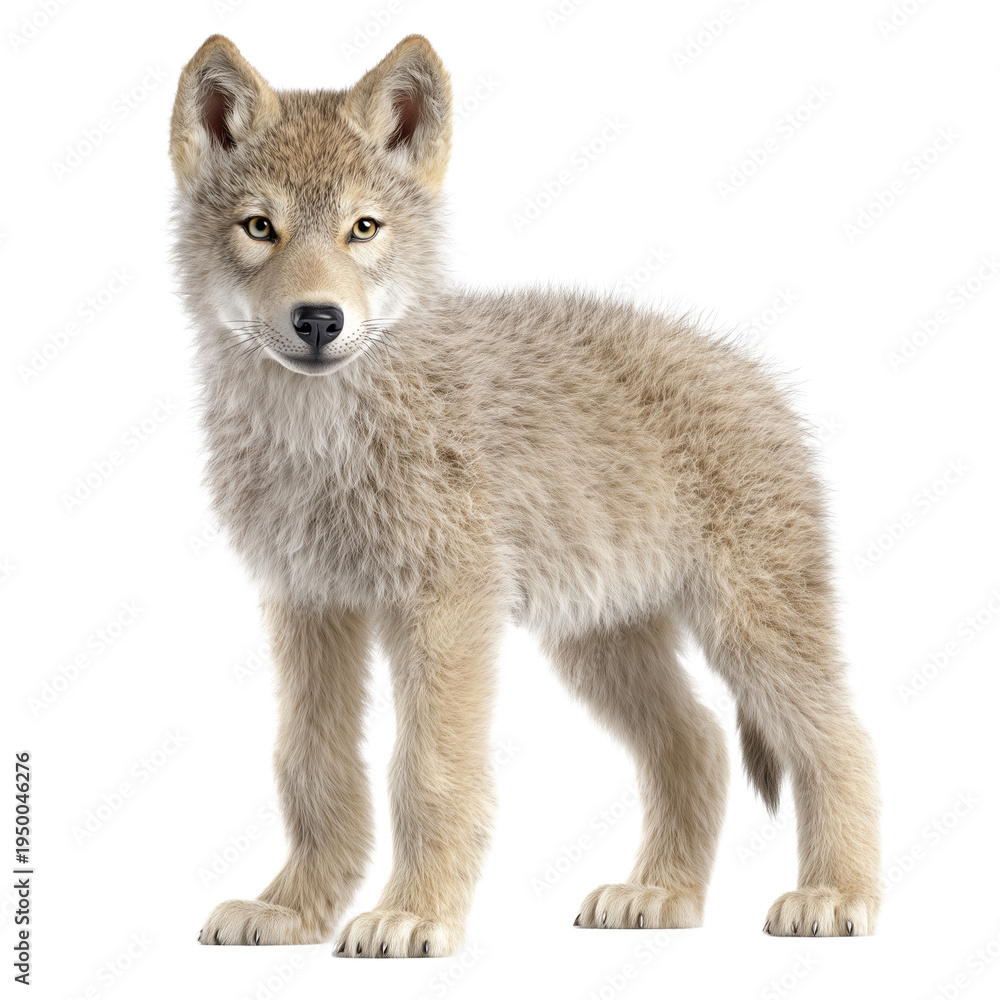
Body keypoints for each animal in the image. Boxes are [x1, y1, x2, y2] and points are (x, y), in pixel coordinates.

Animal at [170, 34, 881, 956]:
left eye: (364, 228)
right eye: (261, 228)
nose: (319, 320)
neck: (319, 434)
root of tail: (755, 374)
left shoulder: (444, 608)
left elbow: (428, 772)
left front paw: (414, 914)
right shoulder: (308, 604)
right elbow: (309, 767)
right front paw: (291, 910)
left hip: (747, 631)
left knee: (842, 741)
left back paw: (835, 895)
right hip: (598, 641)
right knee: (698, 745)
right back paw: (660, 894)